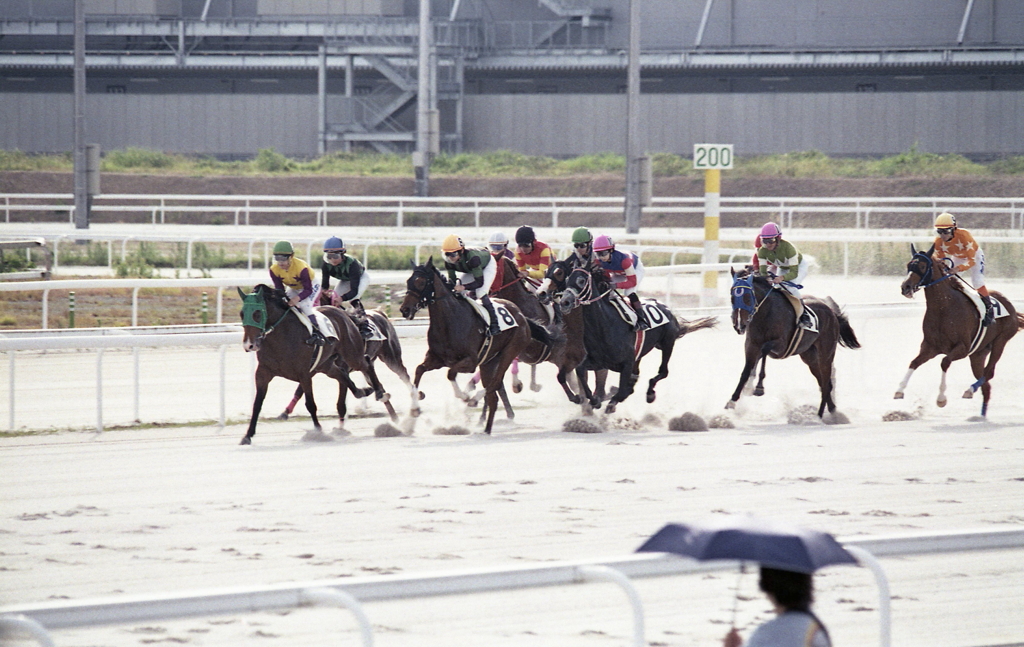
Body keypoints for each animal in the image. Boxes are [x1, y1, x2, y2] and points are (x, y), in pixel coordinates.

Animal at [237, 284, 389, 444]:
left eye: (257, 313)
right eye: (242, 314)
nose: (249, 345)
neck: (282, 337)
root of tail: (344, 314)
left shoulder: (304, 373)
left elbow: (310, 404)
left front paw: (318, 431)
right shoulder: (263, 372)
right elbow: (257, 404)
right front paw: (247, 436)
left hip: (352, 355)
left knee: (366, 362)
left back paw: (379, 392)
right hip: (326, 364)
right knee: (341, 374)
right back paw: (363, 391)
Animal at [399, 259, 540, 434]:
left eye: (421, 281)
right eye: (408, 281)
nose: (405, 310)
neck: (449, 321)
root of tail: (521, 315)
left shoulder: (470, 362)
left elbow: (450, 373)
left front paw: (464, 396)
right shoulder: (436, 359)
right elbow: (419, 370)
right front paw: (415, 407)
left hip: (509, 352)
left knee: (494, 384)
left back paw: (475, 400)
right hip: (489, 362)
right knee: (493, 396)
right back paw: (486, 430)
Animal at [557, 260, 716, 411]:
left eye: (581, 280)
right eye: (567, 279)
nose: (564, 302)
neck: (603, 328)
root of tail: (666, 308)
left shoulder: (626, 363)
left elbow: (622, 391)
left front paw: (609, 402)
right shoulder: (598, 362)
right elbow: (580, 371)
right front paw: (594, 400)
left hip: (667, 343)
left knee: (663, 371)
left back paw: (650, 393)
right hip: (640, 354)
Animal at [724, 268, 860, 417]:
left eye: (747, 298)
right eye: (732, 297)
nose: (739, 326)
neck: (765, 313)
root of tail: (832, 312)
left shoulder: (781, 345)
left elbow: (764, 350)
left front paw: (759, 388)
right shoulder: (751, 345)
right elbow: (746, 371)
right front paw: (732, 400)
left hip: (826, 354)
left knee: (826, 382)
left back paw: (819, 415)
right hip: (809, 357)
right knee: (823, 382)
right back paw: (831, 409)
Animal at [892, 244, 1019, 417]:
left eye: (923, 266)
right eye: (908, 265)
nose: (905, 287)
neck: (943, 308)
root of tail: (1011, 307)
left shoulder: (962, 348)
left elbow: (945, 362)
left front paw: (941, 398)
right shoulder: (930, 347)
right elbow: (914, 362)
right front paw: (899, 390)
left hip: (1000, 342)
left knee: (989, 373)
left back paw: (969, 390)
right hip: (978, 354)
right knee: (985, 383)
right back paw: (981, 413)